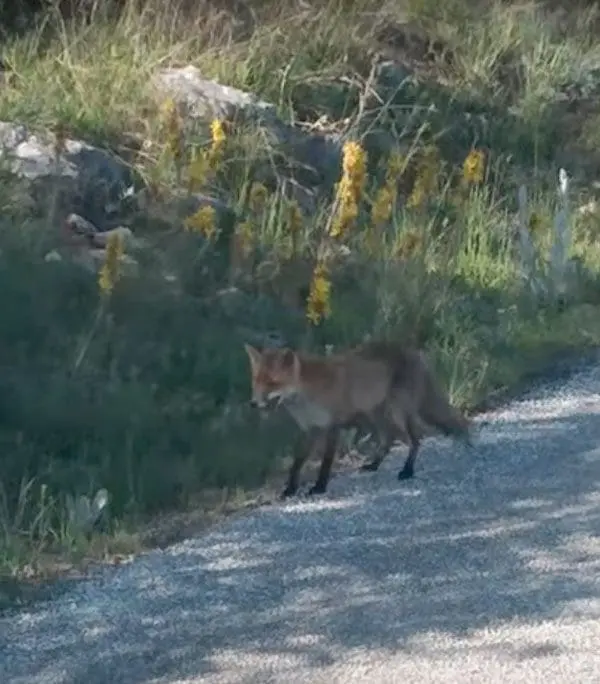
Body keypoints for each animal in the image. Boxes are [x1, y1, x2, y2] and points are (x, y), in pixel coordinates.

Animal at [244, 340, 474, 496]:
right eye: (256, 381)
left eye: (272, 383)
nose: (253, 404)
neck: (308, 394)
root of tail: (415, 352)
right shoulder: (309, 429)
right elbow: (297, 463)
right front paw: (290, 489)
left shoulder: (332, 426)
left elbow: (326, 462)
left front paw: (319, 487)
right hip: (376, 416)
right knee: (389, 440)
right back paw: (374, 465)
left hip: (396, 413)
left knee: (416, 438)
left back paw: (407, 471)